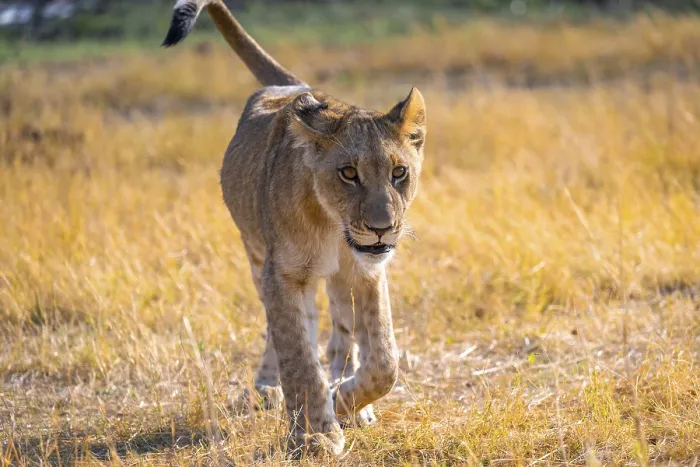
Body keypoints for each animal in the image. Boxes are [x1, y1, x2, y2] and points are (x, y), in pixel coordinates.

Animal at [163, 0, 427, 456]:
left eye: (399, 173)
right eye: (348, 173)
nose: (382, 228)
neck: (334, 230)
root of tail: (289, 87)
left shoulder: (368, 272)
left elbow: (384, 361)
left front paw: (345, 401)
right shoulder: (282, 273)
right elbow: (298, 357)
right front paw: (315, 435)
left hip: (337, 280)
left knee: (341, 333)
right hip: (256, 255)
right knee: (282, 329)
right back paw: (269, 387)